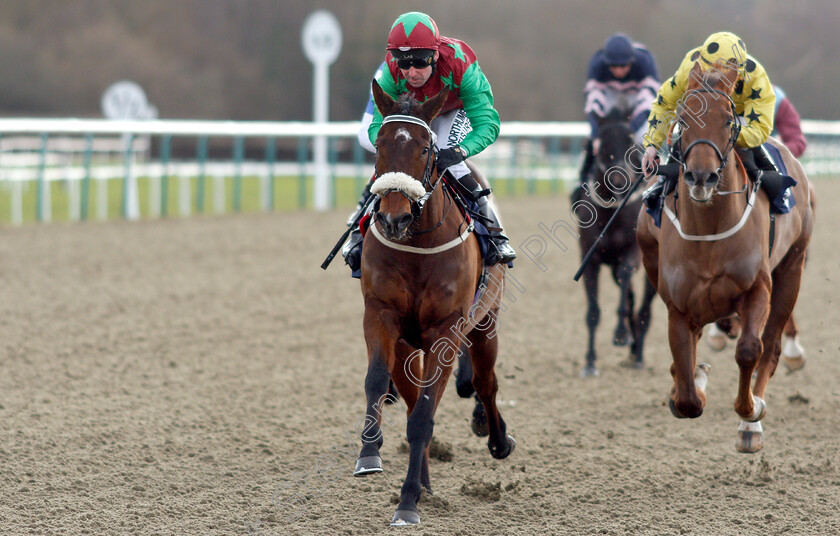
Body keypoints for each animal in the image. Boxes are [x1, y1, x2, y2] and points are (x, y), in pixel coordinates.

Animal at [352, 81, 512, 524]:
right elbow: (378, 383)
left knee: (486, 383)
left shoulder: (447, 328)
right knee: (410, 398)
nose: (394, 218)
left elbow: (426, 414)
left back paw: (497, 439)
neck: (418, 246)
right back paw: (423, 480)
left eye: (426, 149)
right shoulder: (382, 316)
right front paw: (369, 453)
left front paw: (407, 502)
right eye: (380, 145)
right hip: (411, 343)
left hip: (484, 324)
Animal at [576, 105, 660, 376]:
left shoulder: (631, 253)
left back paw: (639, 353)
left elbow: (625, 287)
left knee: (644, 309)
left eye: (630, 141)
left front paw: (621, 334)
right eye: (602, 143)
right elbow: (593, 313)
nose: (620, 181)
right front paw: (590, 361)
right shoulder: (590, 260)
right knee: (633, 299)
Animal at [636, 62, 812, 452]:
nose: (701, 176)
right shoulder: (678, 305)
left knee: (771, 347)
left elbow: (749, 349)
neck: (708, 231)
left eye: (729, 120)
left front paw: (751, 412)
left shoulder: (757, 288)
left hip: (792, 268)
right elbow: (686, 389)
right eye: (682, 119)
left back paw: (752, 423)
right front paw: (692, 385)